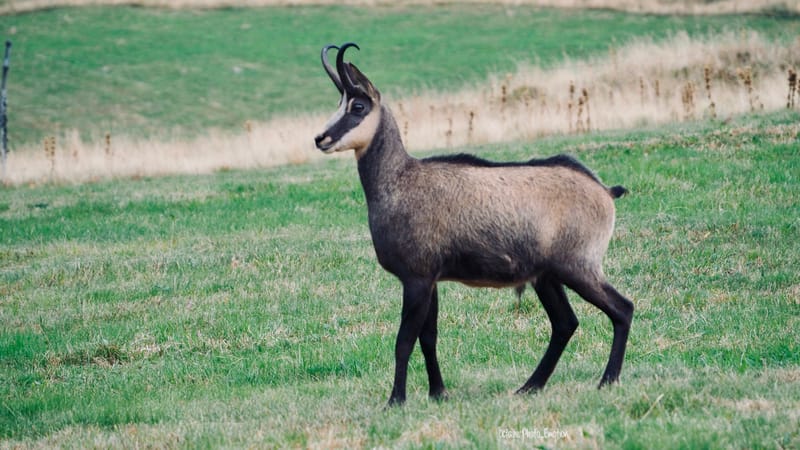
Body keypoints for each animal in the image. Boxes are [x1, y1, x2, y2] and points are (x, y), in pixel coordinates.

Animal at [314, 43, 634, 406]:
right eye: (338, 104)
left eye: (358, 106)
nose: (320, 138)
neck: (399, 182)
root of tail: (604, 191)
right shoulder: (430, 279)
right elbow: (429, 337)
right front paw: (438, 393)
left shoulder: (416, 277)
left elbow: (404, 341)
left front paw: (396, 400)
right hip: (547, 276)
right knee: (566, 322)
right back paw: (530, 386)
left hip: (578, 266)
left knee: (621, 309)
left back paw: (607, 380)